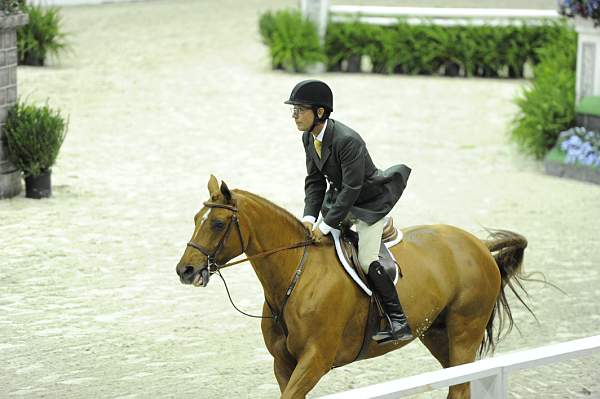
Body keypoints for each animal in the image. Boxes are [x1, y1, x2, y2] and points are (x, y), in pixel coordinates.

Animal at [176, 177, 532, 398]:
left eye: (217, 223)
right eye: (194, 219)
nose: (185, 270)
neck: (297, 276)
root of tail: (479, 245)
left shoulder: (315, 360)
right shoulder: (283, 364)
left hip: (464, 332)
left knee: (459, 386)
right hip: (436, 333)